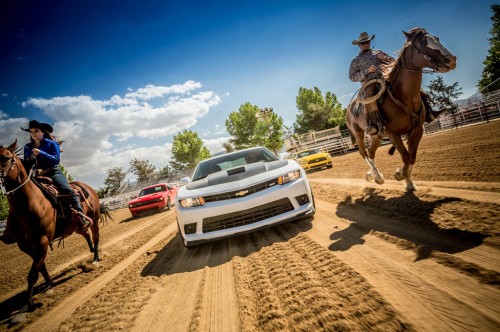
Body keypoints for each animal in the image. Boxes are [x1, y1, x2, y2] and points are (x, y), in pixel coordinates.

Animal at [0, 139, 107, 310]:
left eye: (6, 158)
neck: (29, 205)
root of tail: (88, 188)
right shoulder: (24, 245)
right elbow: (40, 266)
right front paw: (49, 284)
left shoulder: (42, 240)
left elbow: (33, 273)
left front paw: (31, 303)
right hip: (76, 226)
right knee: (86, 234)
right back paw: (91, 251)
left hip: (94, 219)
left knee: (96, 237)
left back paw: (96, 258)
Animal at [348, 28, 458, 191]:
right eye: (422, 43)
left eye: (437, 38)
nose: (451, 59)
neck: (403, 96)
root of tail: (350, 108)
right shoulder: (393, 134)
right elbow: (406, 155)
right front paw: (400, 175)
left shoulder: (417, 130)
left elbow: (412, 156)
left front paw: (409, 182)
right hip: (359, 133)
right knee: (363, 153)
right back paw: (378, 176)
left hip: (377, 136)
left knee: (371, 152)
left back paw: (372, 175)